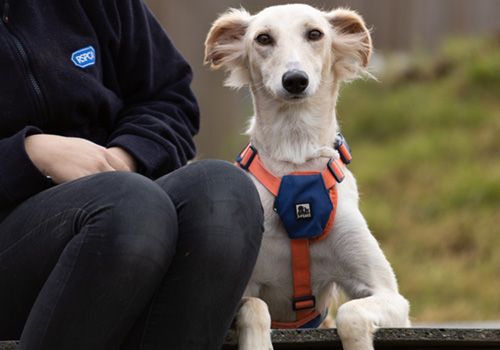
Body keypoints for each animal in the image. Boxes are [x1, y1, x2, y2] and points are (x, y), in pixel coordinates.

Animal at [203, 3, 410, 350]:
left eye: (315, 33)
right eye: (263, 38)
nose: (295, 80)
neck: (296, 160)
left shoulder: (390, 295)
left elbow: (351, 313)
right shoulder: (240, 291)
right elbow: (255, 307)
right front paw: (258, 343)